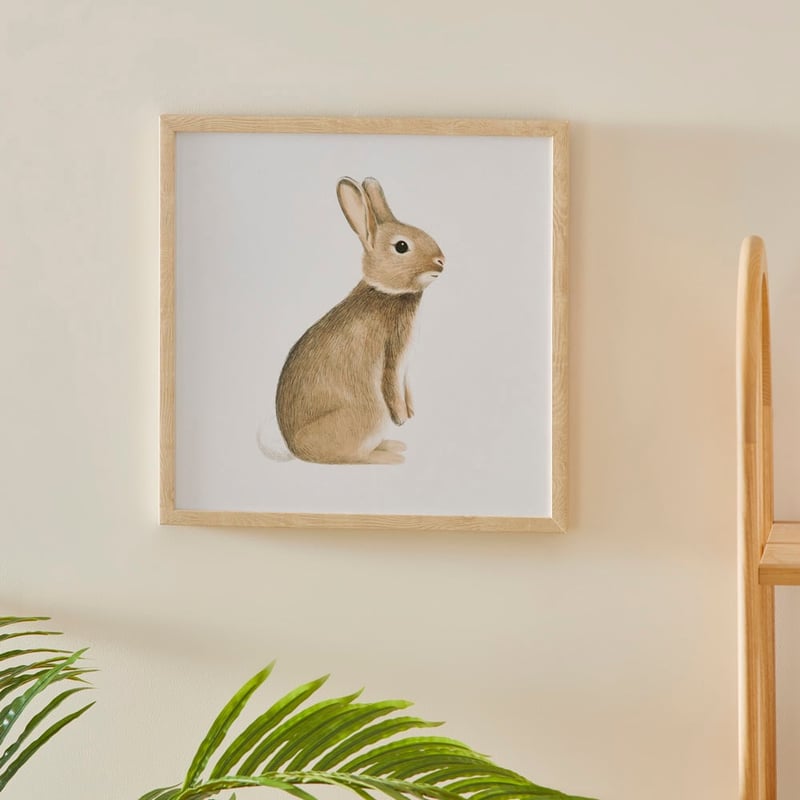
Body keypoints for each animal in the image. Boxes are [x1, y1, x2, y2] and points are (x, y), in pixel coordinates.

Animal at [274, 176, 445, 465]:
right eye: (401, 246)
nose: (441, 262)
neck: (386, 290)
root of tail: (296, 448)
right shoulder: (393, 357)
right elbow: (393, 387)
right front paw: (403, 420)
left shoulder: (405, 368)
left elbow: (406, 389)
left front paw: (411, 414)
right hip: (370, 416)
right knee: (355, 456)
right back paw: (391, 455)